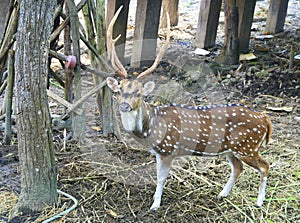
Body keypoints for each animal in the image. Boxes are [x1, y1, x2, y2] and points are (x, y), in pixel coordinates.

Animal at [105, 5, 272, 211]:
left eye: (139, 93)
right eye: (119, 90)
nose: (124, 105)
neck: (150, 127)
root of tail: (265, 118)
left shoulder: (168, 149)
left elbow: (160, 179)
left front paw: (155, 205)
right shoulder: (159, 153)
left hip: (247, 146)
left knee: (265, 166)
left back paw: (258, 202)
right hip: (232, 149)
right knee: (238, 167)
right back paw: (222, 194)